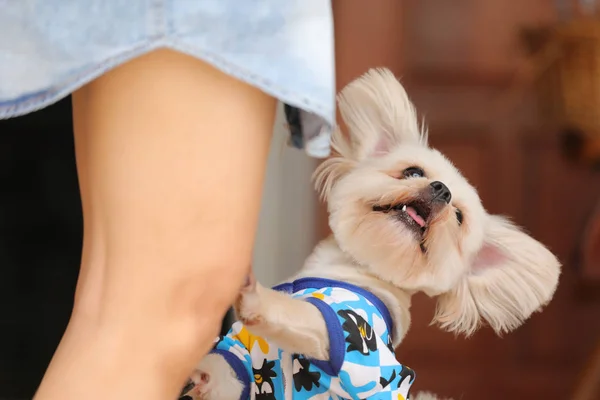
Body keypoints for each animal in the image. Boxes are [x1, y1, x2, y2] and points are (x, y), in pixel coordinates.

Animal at [180, 69, 560, 400]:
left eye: (458, 217)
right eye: (413, 172)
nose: (442, 190)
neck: (346, 272)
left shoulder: (349, 339)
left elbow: (295, 312)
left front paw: (255, 296)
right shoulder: (244, 365)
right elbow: (222, 373)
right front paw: (197, 373)